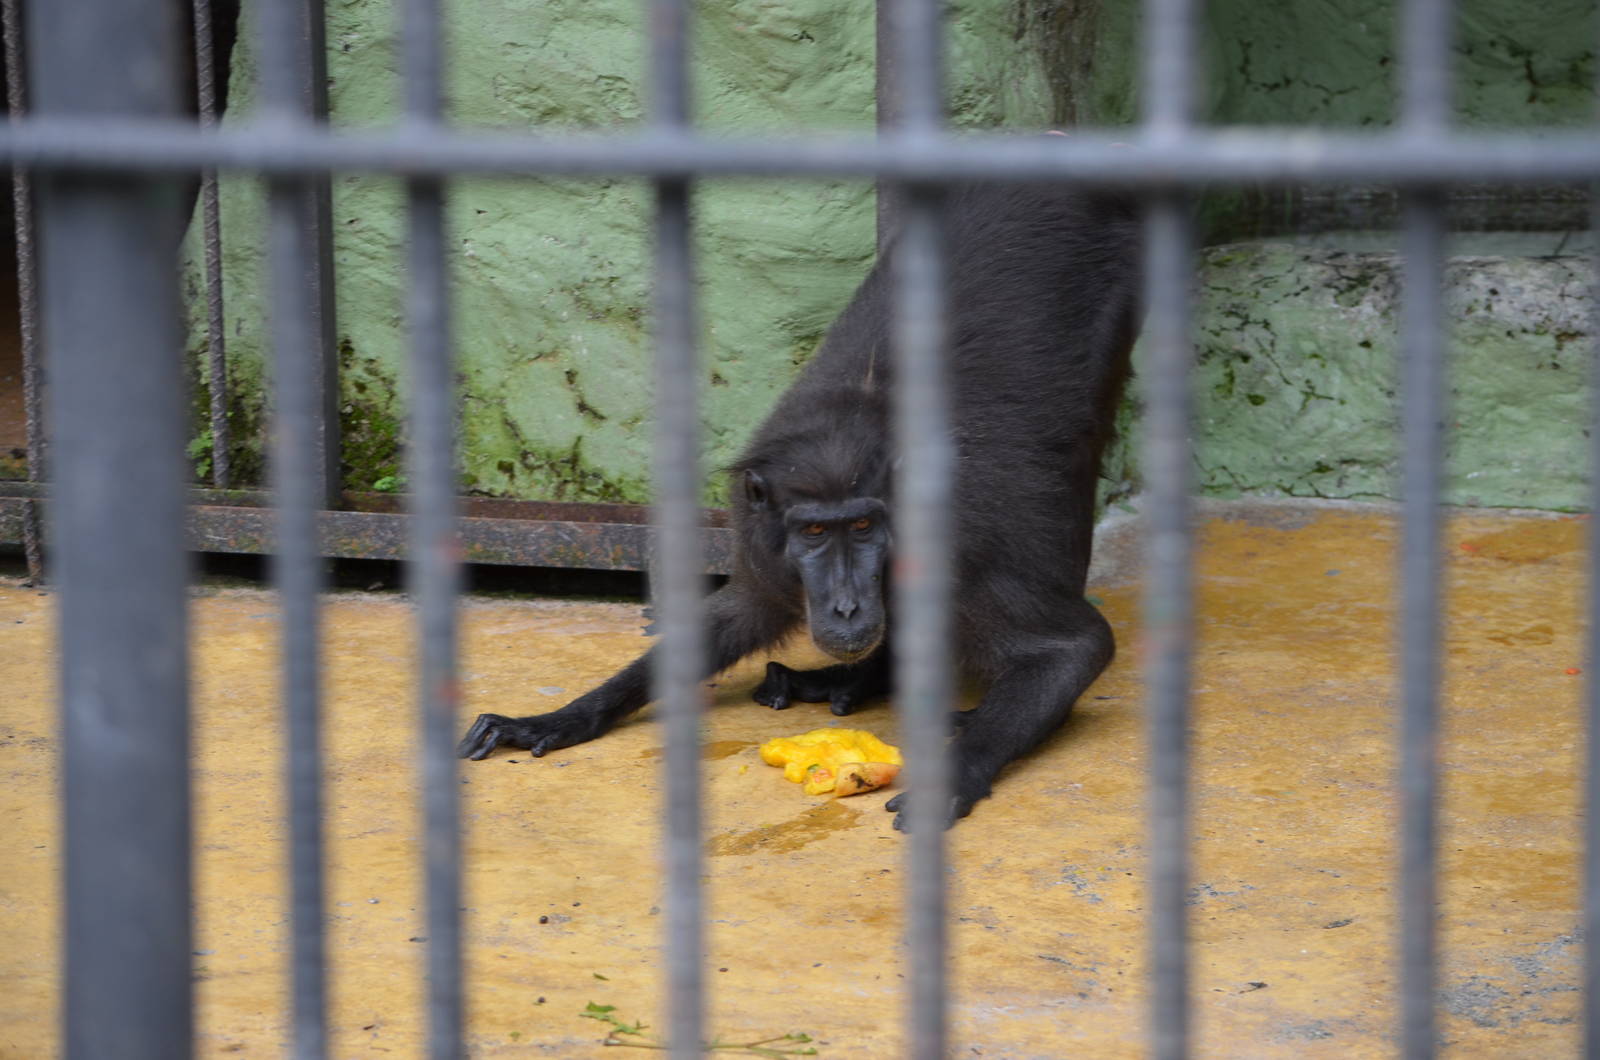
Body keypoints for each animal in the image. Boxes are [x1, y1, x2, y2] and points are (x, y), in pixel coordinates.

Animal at [458, 181, 1143, 830]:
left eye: (863, 526)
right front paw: (562, 717)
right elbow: (736, 614)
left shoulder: (965, 548)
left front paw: (954, 775)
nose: (845, 606)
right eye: (814, 532)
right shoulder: (760, 533)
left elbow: (1073, 648)